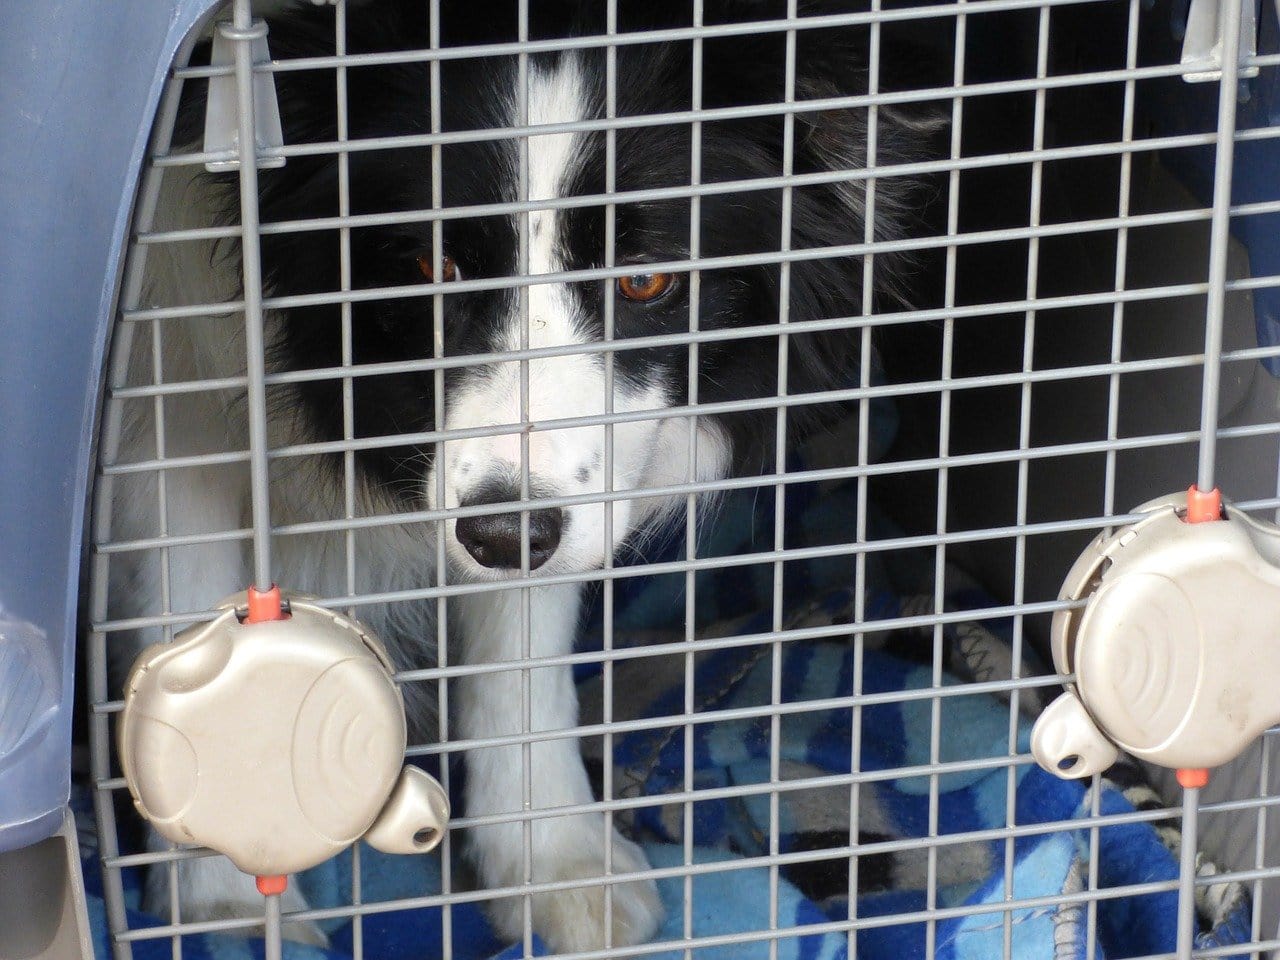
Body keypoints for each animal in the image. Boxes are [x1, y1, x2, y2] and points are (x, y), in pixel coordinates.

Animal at [107, 0, 931, 952]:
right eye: (431, 267)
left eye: (646, 279)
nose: (503, 536)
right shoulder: (167, 395)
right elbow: (185, 601)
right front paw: (227, 907)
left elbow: (523, 648)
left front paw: (556, 863)